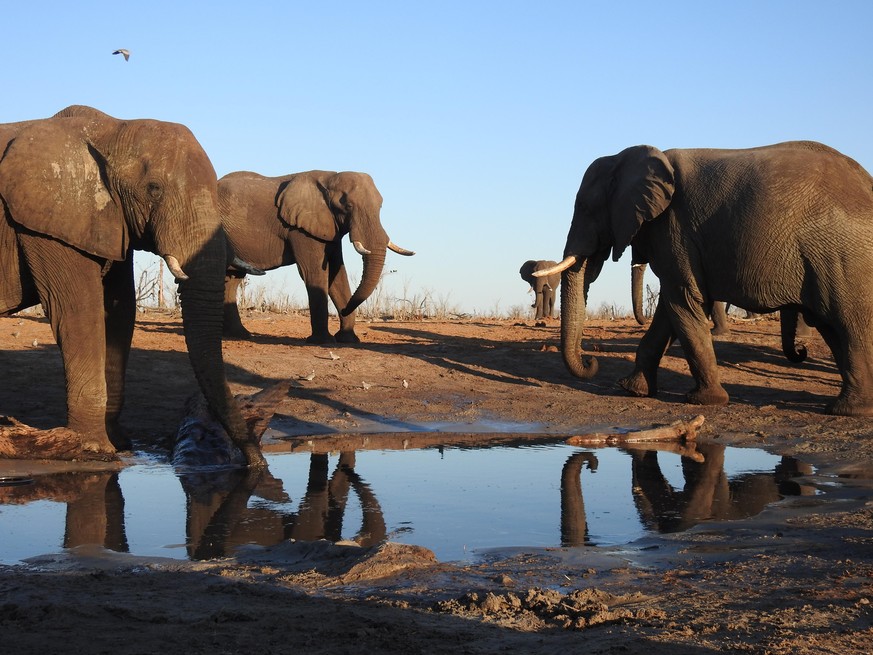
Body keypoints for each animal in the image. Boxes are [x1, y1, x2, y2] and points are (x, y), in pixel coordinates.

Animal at [1, 106, 264, 466]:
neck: (111, 130)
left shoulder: (106, 220)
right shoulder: (45, 223)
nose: (256, 463)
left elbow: (119, 310)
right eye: (154, 189)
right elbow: (78, 312)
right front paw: (93, 449)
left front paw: (119, 443)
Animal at [540, 142, 872, 416]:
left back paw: (847, 411)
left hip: (841, 256)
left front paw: (704, 402)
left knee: (848, 324)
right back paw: (852, 408)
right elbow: (669, 311)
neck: (625, 158)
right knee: (833, 328)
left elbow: (683, 302)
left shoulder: (674, 230)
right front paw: (632, 389)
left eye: (585, 208)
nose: (591, 362)